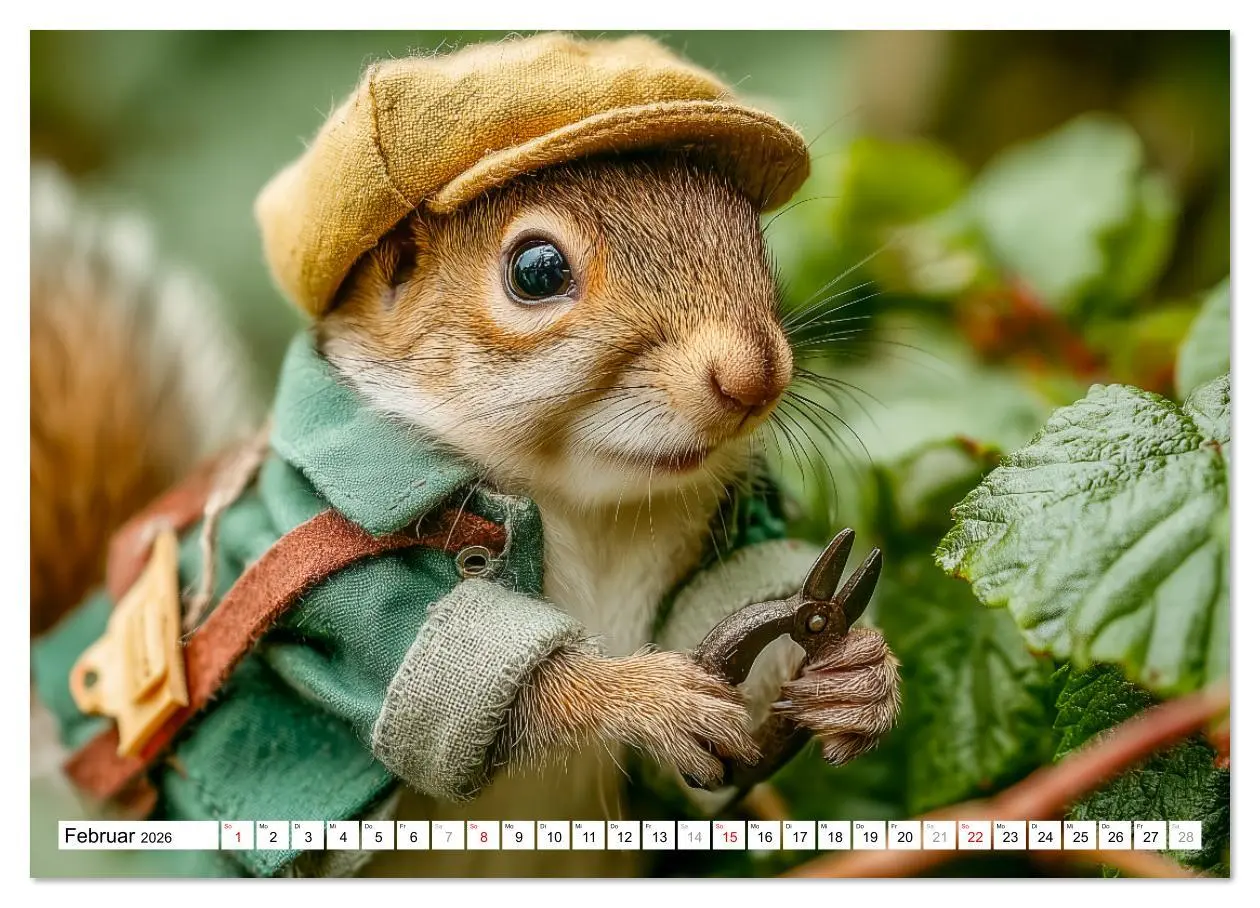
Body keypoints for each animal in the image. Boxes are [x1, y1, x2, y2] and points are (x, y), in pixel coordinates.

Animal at [30, 36, 900, 879]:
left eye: (753, 233)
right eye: (537, 270)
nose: (755, 376)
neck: (589, 509)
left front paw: (855, 676)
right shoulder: (321, 568)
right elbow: (421, 667)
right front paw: (642, 696)